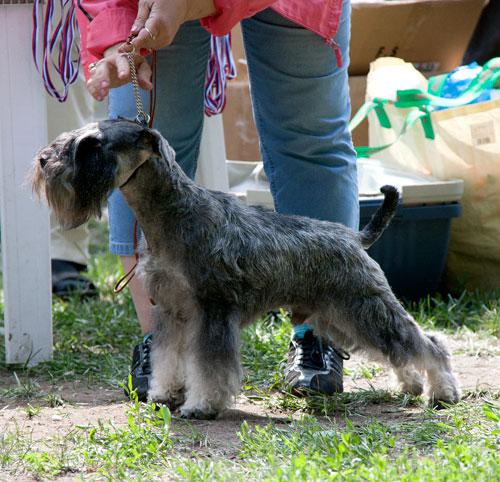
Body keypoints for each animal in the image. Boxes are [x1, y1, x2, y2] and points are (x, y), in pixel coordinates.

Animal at [30, 117, 460, 418]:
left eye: (91, 145)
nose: (44, 161)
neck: (171, 214)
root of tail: (355, 237)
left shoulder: (213, 313)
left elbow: (209, 368)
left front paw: (201, 406)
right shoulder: (171, 313)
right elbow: (169, 360)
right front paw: (163, 395)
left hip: (364, 308)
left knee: (426, 343)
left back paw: (442, 392)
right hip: (342, 318)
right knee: (398, 350)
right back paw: (409, 386)